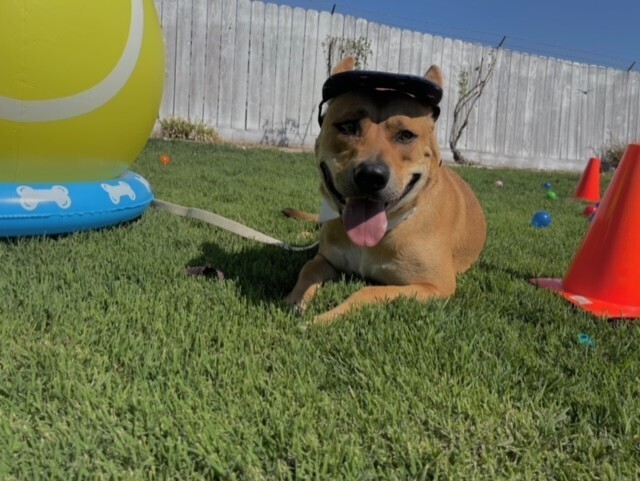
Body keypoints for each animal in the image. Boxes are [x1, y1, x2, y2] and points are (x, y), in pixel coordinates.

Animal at [284, 58, 484, 324]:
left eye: (406, 135)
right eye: (348, 126)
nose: (371, 176)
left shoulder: (434, 286)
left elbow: (367, 292)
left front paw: (324, 318)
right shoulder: (325, 258)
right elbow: (308, 268)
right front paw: (296, 298)